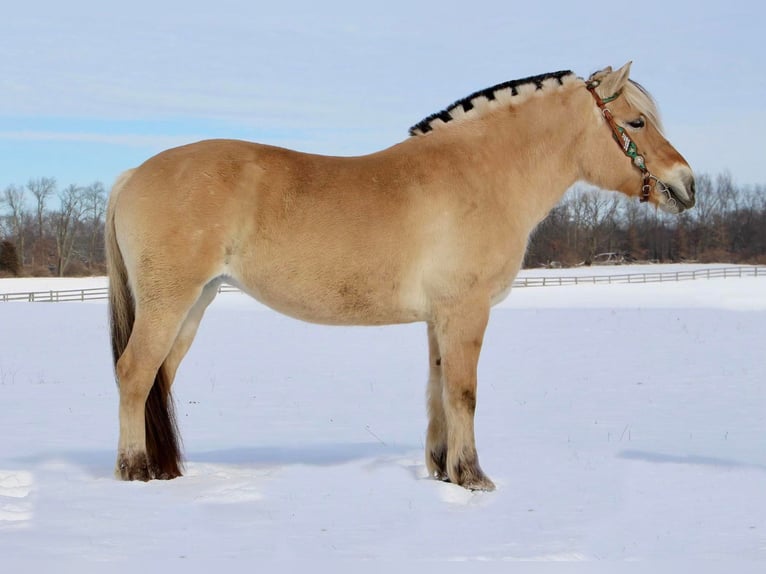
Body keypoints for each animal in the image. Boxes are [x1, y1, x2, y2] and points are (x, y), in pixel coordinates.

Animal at [106, 64, 696, 496]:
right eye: (637, 123)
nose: (687, 185)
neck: (481, 173)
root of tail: (133, 174)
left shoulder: (440, 318)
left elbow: (437, 391)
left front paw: (443, 470)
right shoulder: (466, 310)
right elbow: (464, 392)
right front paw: (474, 478)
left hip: (194, 304)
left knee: (160, 378)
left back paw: (163, 468)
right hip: (169, 302)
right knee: (134, 374)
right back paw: (134, 469)